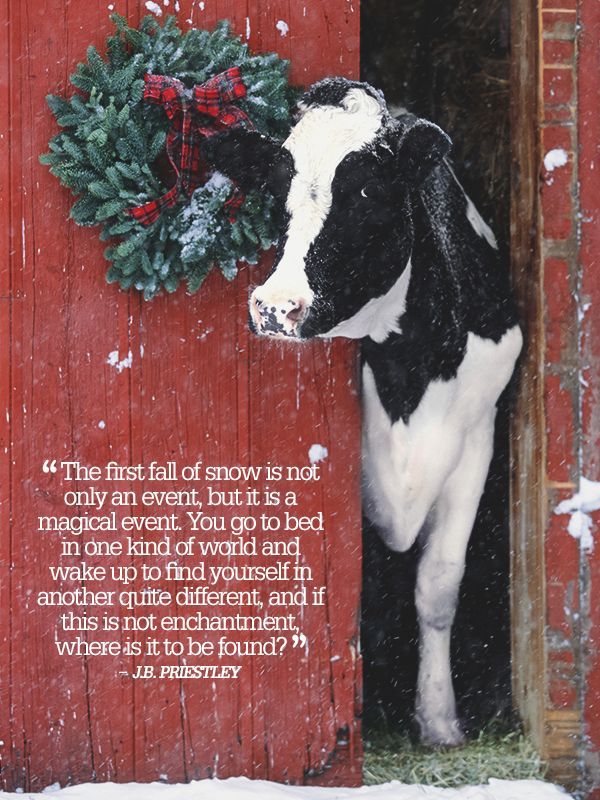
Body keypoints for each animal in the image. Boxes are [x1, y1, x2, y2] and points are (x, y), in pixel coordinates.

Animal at [204, 78, 524, 748]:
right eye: (275, 190)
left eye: (369, 191)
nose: (276, 307)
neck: (410, 367)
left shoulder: (477, 438)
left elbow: (438, 585)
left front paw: (439, 720)